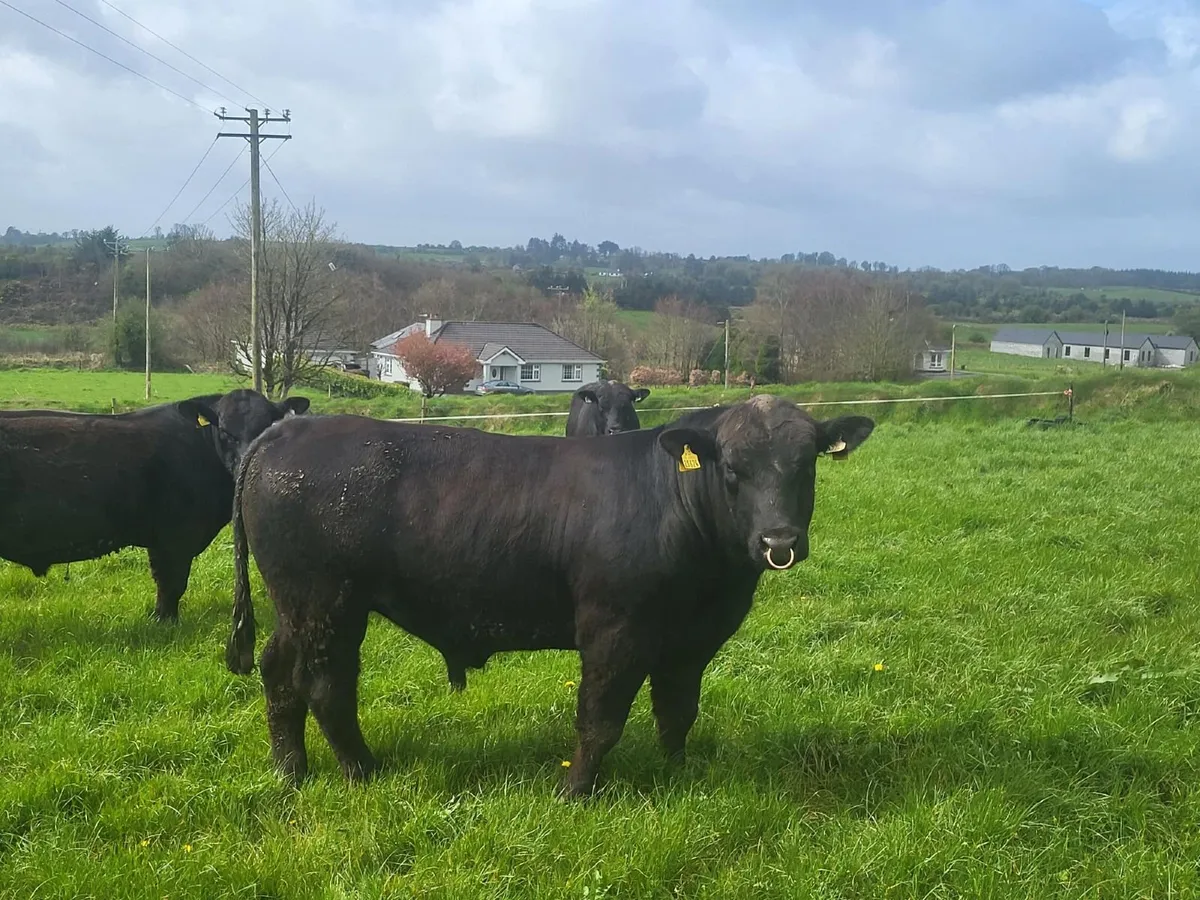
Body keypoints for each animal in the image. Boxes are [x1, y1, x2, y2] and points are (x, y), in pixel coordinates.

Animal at [0, 389, 309, 621]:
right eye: (224, 431)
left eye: (269, 427)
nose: (247, 462)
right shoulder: (174, 535)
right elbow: (171, 582)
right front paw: (164, 620)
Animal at [224, 394, 874, 797]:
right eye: (734, 469)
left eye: (807, 465)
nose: (778, 540)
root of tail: (285, 430)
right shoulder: (614, 631)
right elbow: (600, 720)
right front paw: (575, 792)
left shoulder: (693, 639)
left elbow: (677, 712)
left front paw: (679, 774)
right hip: (327, 603)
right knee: (326, 686)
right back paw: (363, 771)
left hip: (296, 605)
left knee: (279, 672)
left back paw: (291, 770)